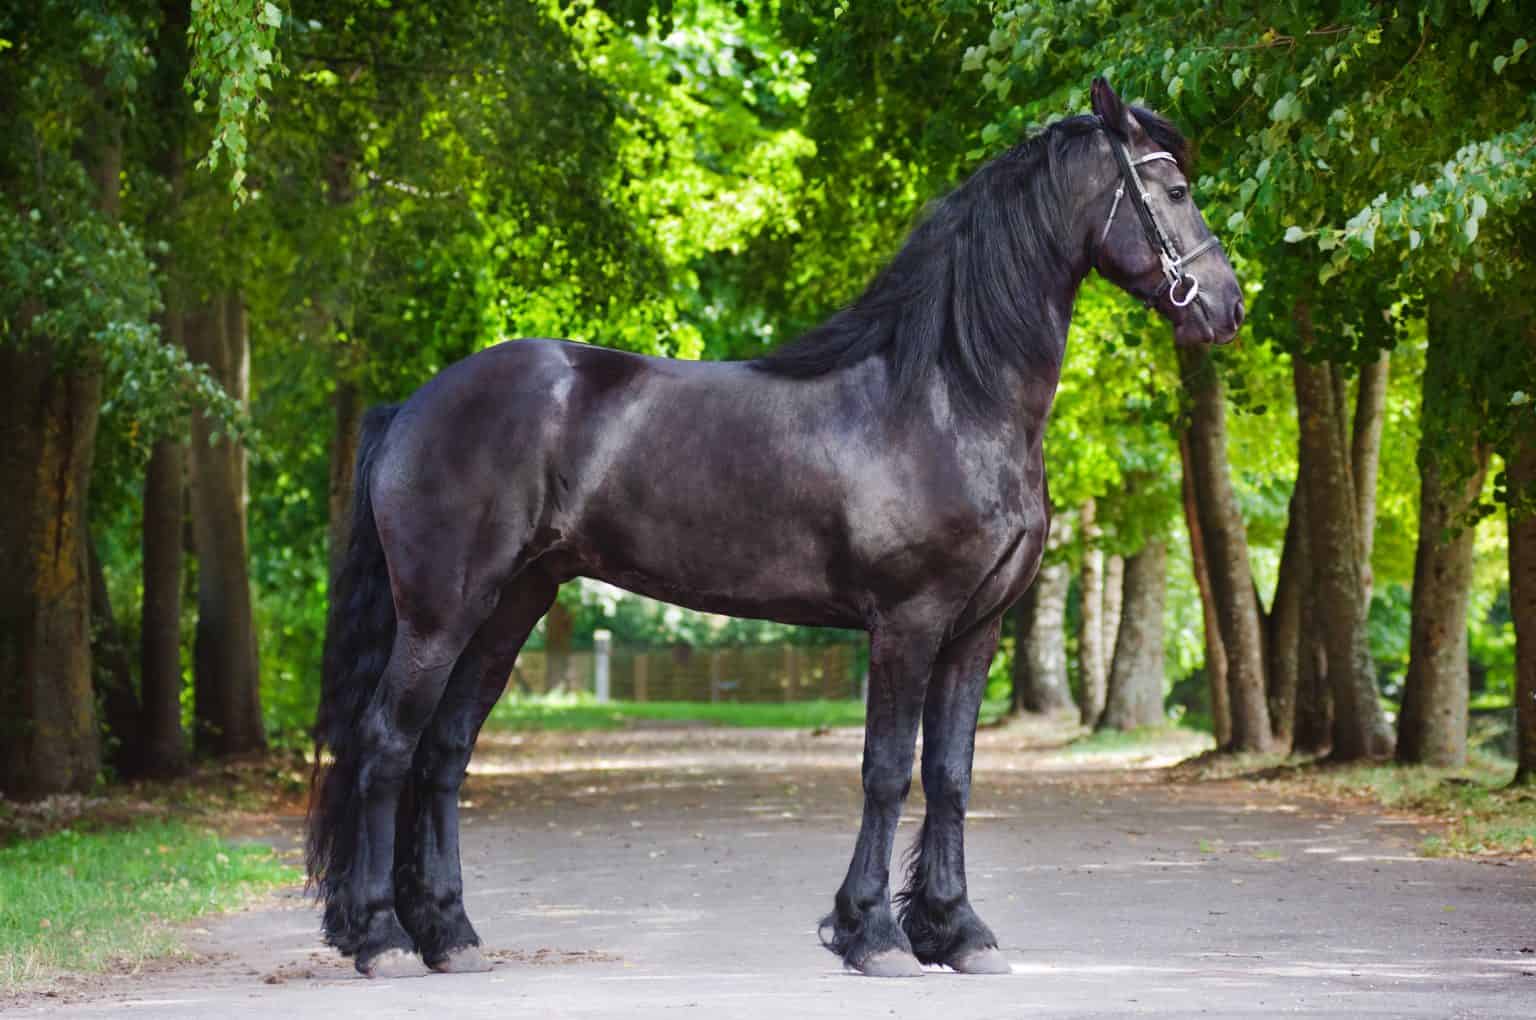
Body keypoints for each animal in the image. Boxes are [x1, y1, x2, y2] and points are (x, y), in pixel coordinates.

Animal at [307, 77, 1244, 980]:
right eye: (1175, 189)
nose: (1227, 307)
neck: (949, 397)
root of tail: (412, 407)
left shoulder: (977, 627)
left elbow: (950, 774)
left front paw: (958, 931)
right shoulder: (907, 623)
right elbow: (885, 772)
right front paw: (873, 936)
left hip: (511, 606)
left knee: (443, 753)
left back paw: (449, 933)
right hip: (443, 613)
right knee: (388, 744)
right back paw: (383, 937)